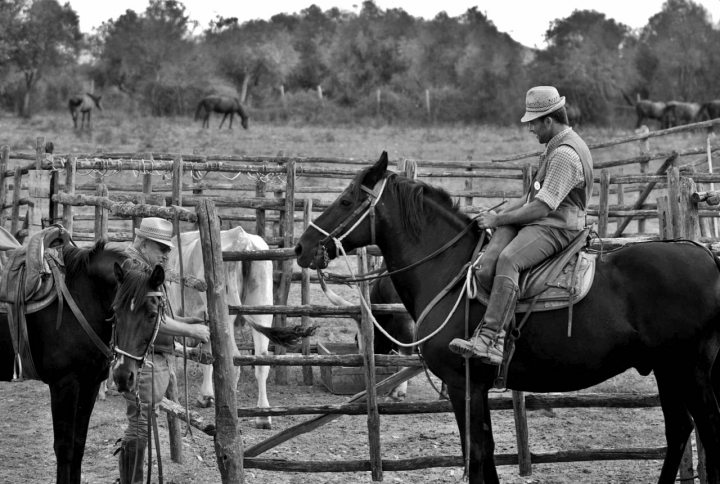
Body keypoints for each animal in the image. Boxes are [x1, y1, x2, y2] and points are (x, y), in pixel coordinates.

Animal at [0, 240, 128, 482]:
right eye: (123, 306)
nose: (127, 376)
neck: (83, 298)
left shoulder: (90, 384)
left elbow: (78, 446)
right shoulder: (64, 384)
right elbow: (64, 448)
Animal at [167, 225, 276, 430]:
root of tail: (242, 238)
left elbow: (205, 359)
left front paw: (205, 396)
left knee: (233, 359)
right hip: (263, 309)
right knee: (262, 359)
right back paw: (263, 416)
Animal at [294, 152, 720, 484]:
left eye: (347, 200)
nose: (302, 247)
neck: (450, 270)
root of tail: (706, 255)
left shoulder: (462, 384)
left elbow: (477, 456)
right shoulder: (476, 388)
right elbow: (487, 453)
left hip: (688, 369)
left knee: (707, 426)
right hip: (668, 369)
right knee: (680, 429)